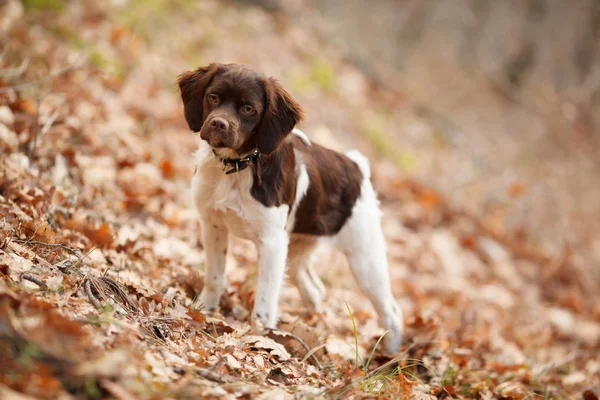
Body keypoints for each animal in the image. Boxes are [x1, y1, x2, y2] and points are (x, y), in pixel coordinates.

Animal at [177, 63, 404, 354]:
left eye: (248, 108)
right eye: (213, 97)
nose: (218, 124)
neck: (238, 167)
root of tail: (357, 167)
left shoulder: (272, 244)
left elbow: (264, 303)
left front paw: (257, 340)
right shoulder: (213, 224)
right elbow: (214, 277)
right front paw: (204, 311)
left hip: (365, 259)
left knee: (391, 311)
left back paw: (391, 355)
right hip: (298, 250)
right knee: (315, 288)